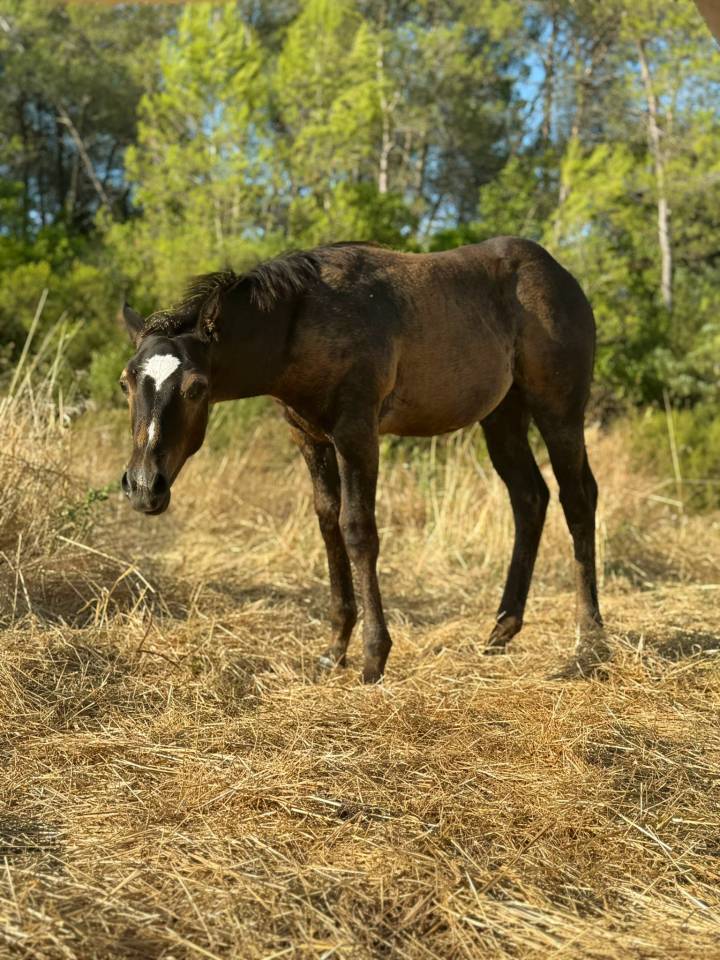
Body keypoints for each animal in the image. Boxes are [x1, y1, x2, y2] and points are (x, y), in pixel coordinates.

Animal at [119, 237, 603, 682]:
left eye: (196, 387)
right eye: (126, 382)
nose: (144, 486)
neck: (302, 323)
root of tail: (561, 275)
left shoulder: (357, 434)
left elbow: (357, 530)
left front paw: (373, 657)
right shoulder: (309, 438)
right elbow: (328, 523)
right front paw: (335, 648)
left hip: (558, 411)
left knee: (577, 499)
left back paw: (589, 643)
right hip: (503, 415)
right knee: (530, 498)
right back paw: (502, 630)